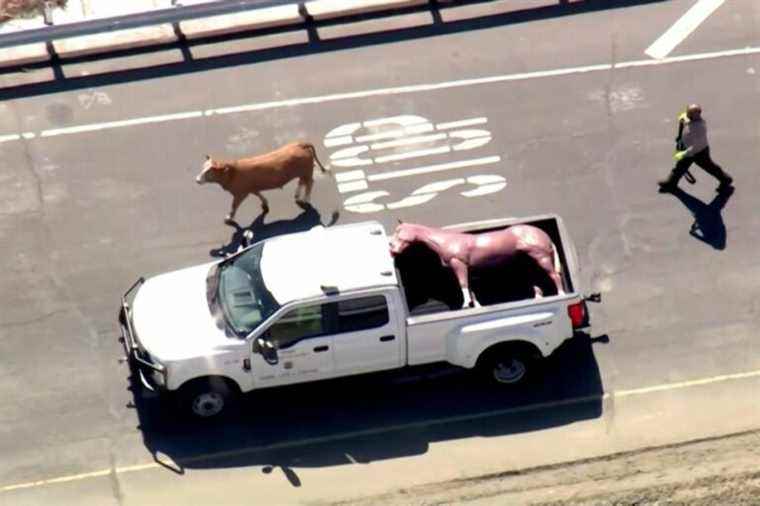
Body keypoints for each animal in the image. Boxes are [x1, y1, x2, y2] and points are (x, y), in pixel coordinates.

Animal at [194, 141, 328, 222]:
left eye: (208, 172)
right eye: (202, 167)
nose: (197, 180)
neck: (232, 172)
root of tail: (300, 144)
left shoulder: (240, 194)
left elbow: (233, 206)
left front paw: (229, 217)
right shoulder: (251, 188)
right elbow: (259, 194)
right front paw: (265, 203)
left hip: (307, 172)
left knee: (310, 183)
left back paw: (306, 199)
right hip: (302, 173)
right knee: (302, 182)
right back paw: (297, 194)